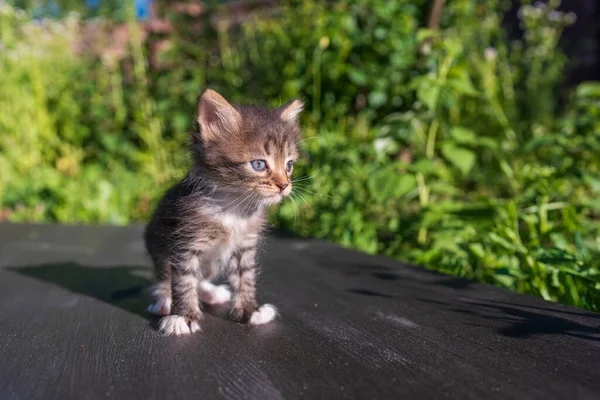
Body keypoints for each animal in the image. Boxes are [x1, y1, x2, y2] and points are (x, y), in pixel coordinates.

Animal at [144, 89, 302, 336]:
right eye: (259, 165)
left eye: (289, 165)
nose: (284, 185)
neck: (233, 207)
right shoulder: (185, 242)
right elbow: (184, 281)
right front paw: (183, 316)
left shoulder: (245, 245)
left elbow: (246, 277)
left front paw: (250, 310)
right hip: (157, 244)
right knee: (164, 276)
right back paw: (164, 300)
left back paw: (210, 293)